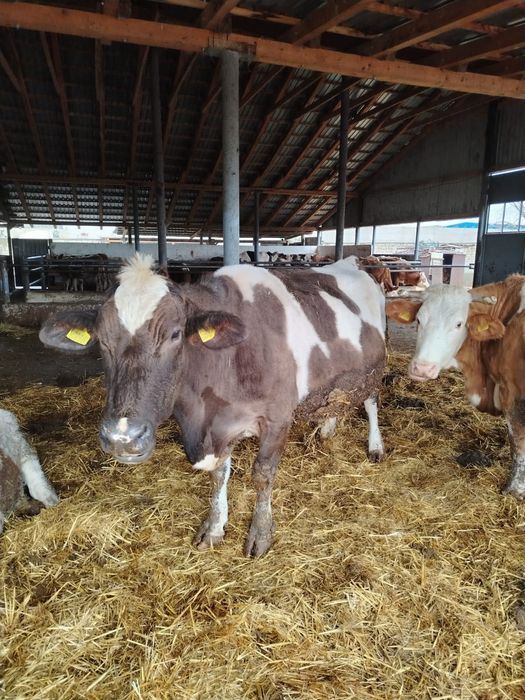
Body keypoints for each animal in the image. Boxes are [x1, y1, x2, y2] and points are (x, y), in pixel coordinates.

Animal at [39, 254, 386, 556]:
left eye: (175, 334)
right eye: (102, 340)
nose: (122, 438)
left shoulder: (277, 418)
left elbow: (263, 475)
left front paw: (261, 533)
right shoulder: (217, 426)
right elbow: (219, 475)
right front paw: (215, 527)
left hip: (375, 366)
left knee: (370, 401)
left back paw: (375, 446)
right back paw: (327, 426)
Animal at [386, 274, 525, 498]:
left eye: (459, 324)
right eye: (419, 319)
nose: (422, 368)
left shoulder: (513, 392)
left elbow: (518, 441)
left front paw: (515, 490)